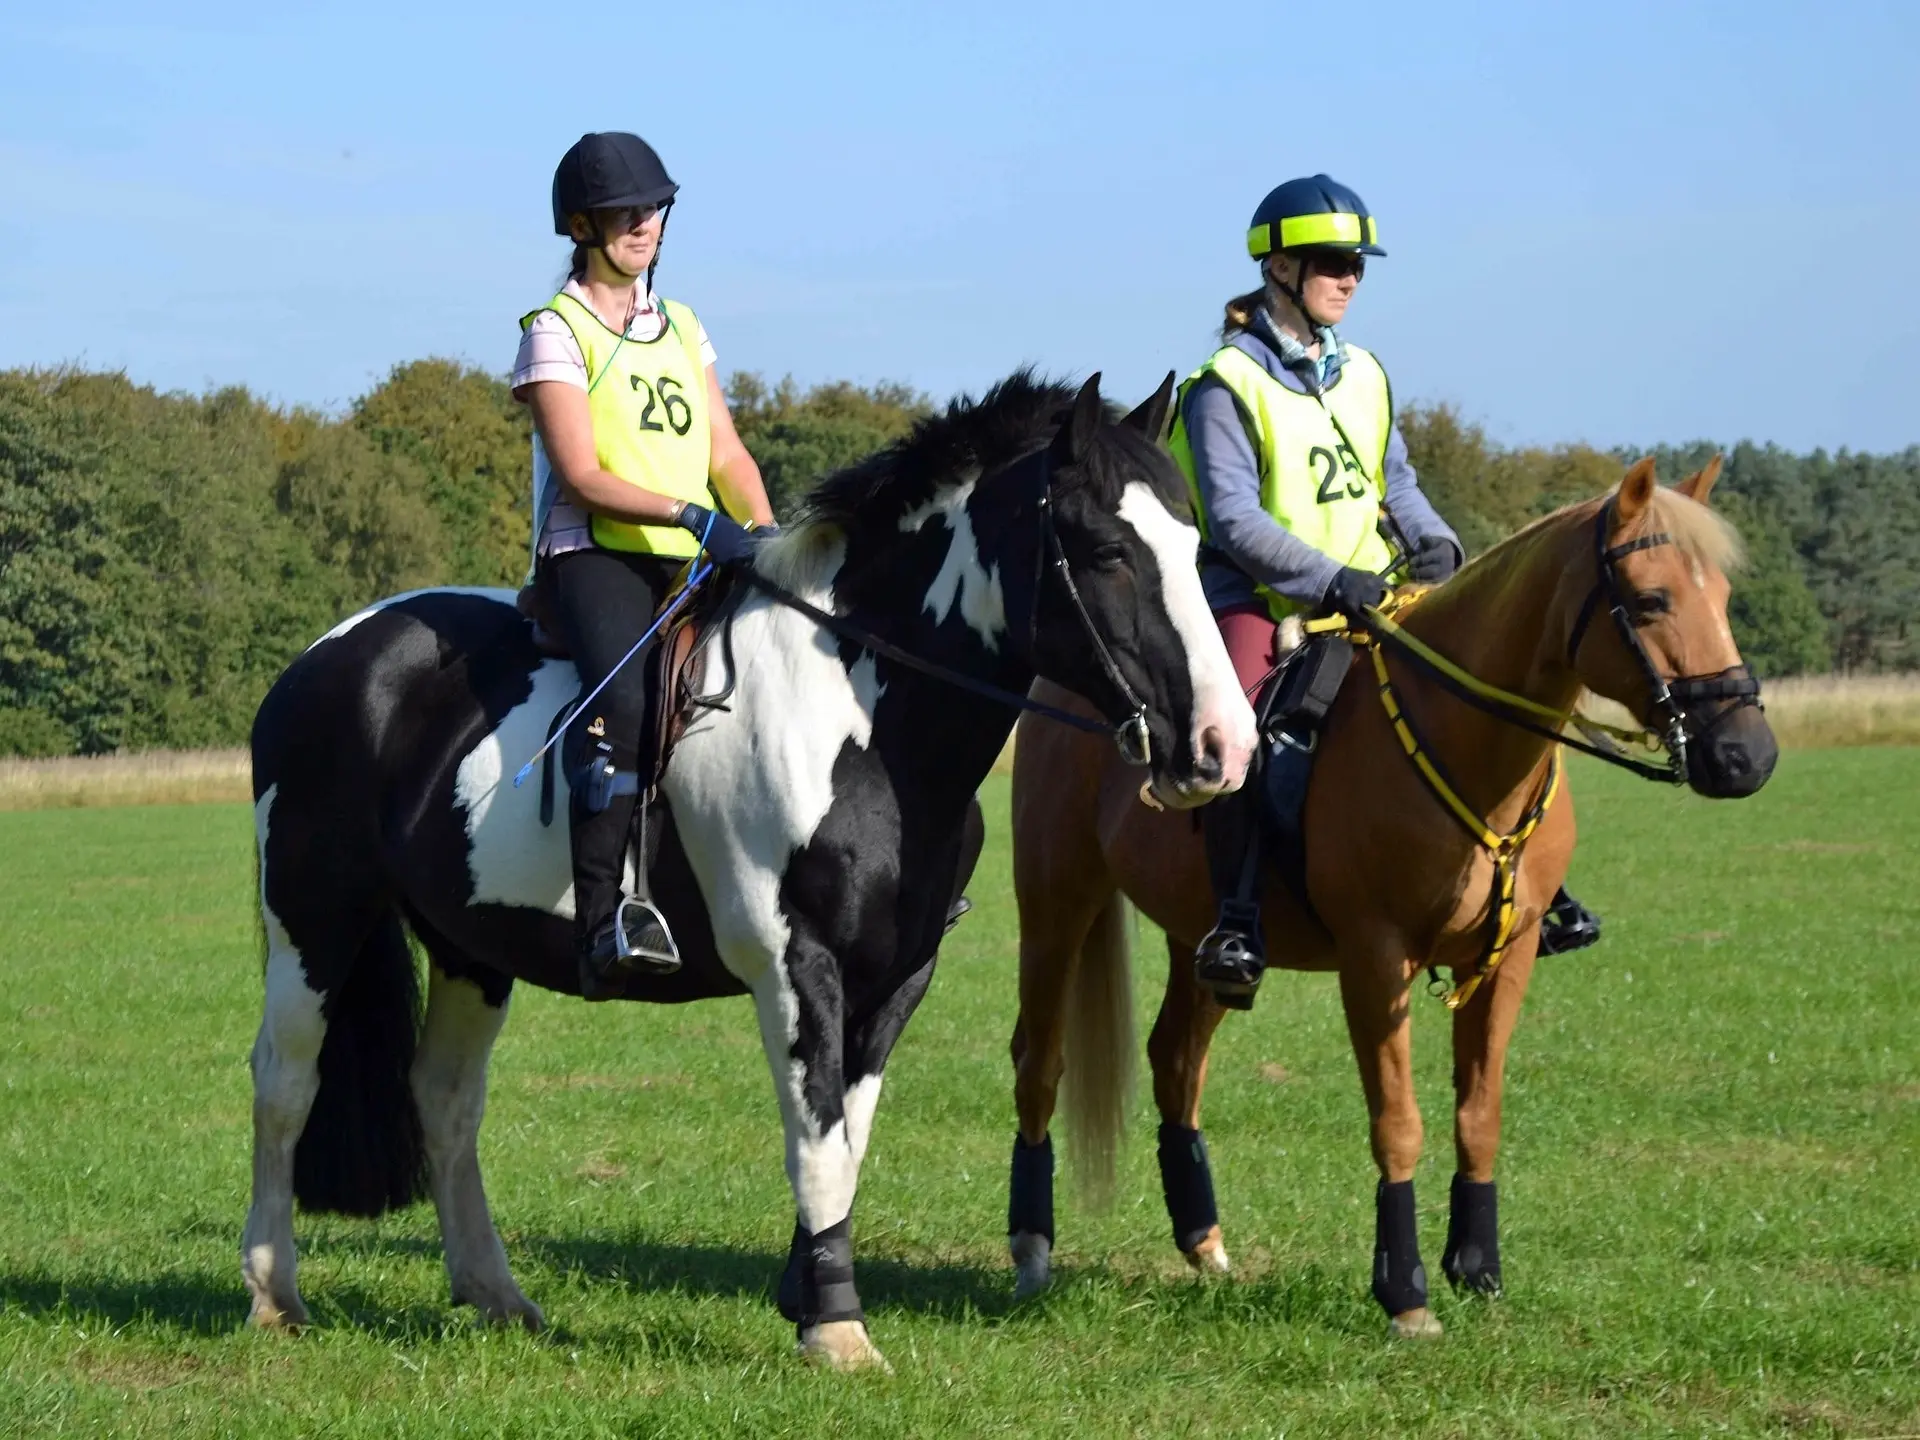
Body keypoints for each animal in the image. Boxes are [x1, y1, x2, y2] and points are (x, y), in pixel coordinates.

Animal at [240, 366, 1259, 1367]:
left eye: (1190, 541)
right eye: (1105, 550)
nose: (1225, 744)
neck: (861, 716)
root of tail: (330, 653)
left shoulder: (898, 976)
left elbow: (846, 1140)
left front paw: (809, 1292)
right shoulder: (792, 963)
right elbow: (814, 1142)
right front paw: (837, 1328)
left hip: (472, 948)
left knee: (446, 1101)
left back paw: (494, 1294)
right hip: (313, 922)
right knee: (285, 1082)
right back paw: (273, 1293)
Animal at [1013, 458, 1774, 1344]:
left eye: (1723, 594)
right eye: (1651, 600)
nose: (1747, 754)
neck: (1464, 740)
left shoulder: (1507, 959)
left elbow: (1479, 1115)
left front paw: (1478, 1268)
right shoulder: (1378, 962)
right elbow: (1399, 1124)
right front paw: (1404, 1290)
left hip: (1202, 939)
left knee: (1175, 1060)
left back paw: (1204, 1241)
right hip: (1057, 907)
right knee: (1039, 1062)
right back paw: (1030, 1247)